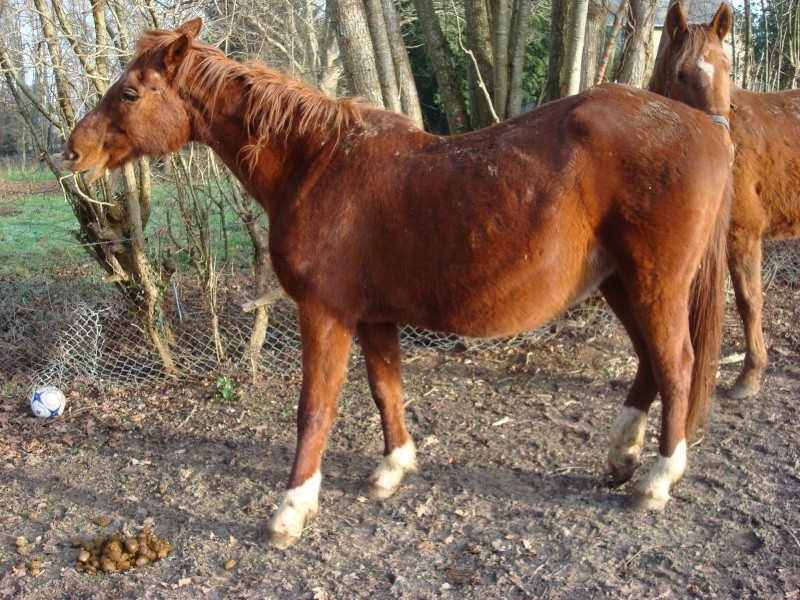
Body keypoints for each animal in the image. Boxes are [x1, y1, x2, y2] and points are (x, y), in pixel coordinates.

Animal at [65, 19, 736, 548]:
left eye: (130, 91)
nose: (73, 152)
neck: (317, 164)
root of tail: (707, 127)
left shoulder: (325, 313)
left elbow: (315, 410)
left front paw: (291, 510)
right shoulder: (373, 317)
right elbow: (386, 388)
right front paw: (393, 468)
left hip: (655, 282)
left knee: (677, 363)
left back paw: (657, 480)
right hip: (622, 282)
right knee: (651, 360)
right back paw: (623, 456)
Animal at [648, 2, 800, 400]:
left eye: (728, 69)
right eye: (681, 74)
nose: (726, 151)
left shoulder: (742, 236)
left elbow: (749, 302)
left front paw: (750, 375)